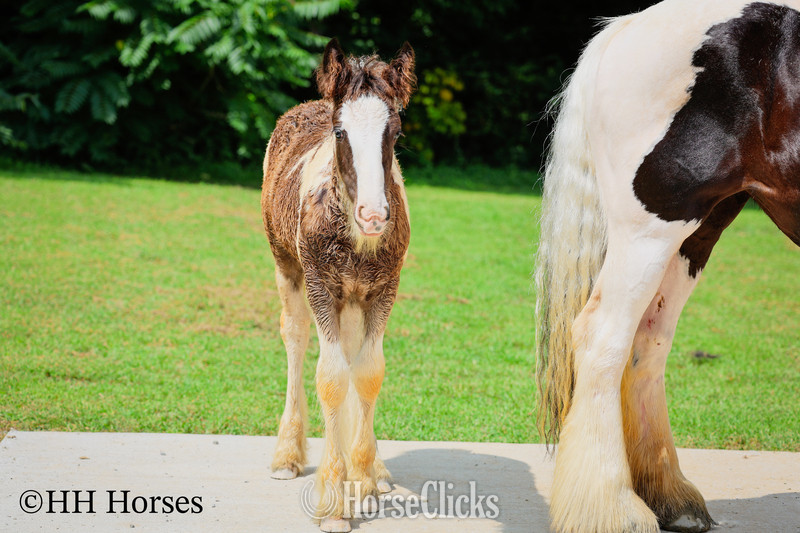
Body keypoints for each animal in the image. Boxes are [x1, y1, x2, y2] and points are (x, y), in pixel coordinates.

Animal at [261, 38, 415, 533]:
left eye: (395, 133)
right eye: (341, 133)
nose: (373, 215)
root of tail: (309, 104)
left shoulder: (384, 288)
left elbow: (367, 372)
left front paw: (361, 481)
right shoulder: (321, 284)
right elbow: (330, 377)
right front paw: (332, 501)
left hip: (354, 297)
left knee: (350, 352)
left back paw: (374, 470)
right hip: (286, 265)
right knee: (295, 337)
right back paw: (286, 455)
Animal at [534, 1, 800, 532]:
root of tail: (627, 27)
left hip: (696, 233)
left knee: (647, 343)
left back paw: (670, 497)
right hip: (654, 228)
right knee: (603, 336)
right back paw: (612, 508)